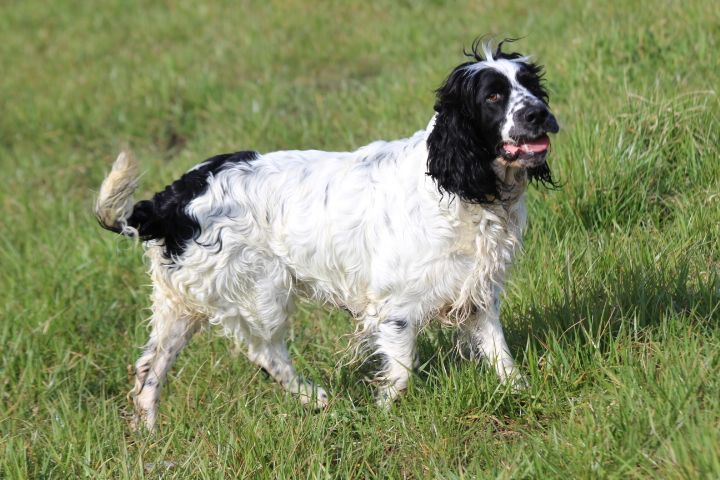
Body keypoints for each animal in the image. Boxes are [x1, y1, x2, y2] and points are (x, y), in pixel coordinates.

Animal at [94, 40, 556, 432]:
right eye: (493, 96)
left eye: (531, 85)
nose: (538, 113)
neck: (459, 189)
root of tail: (170, 201)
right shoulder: (395, 306)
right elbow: (402, 369)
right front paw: (384, 412)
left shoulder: (477, 293)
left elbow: (500, 354)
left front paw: (522, 392)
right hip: (262, 292)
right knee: (264, 353)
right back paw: (315, 398)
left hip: (180, 304)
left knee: (149, 368)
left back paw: (150, 436)